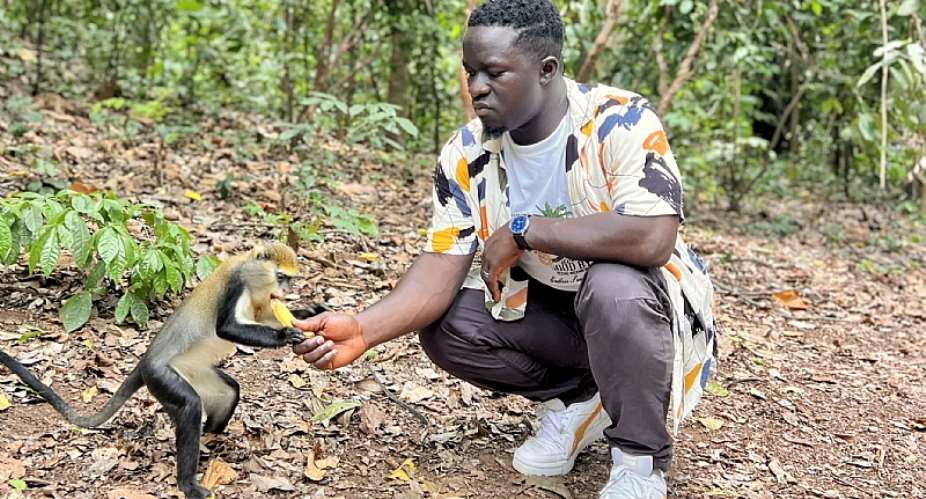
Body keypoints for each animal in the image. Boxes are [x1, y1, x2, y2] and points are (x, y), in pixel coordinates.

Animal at [0, 242, 323, 499]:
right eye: (281, 276)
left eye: (289, 280)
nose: (285, 289)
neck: (251, 274)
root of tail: (145, 362)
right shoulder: (235, 286)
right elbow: (227, 328)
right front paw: (284, 335)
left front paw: (311, 313)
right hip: (162, 377)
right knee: (190, 406)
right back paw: (188, 484)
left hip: (193, 372)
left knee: (229, 391)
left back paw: (214, 439)